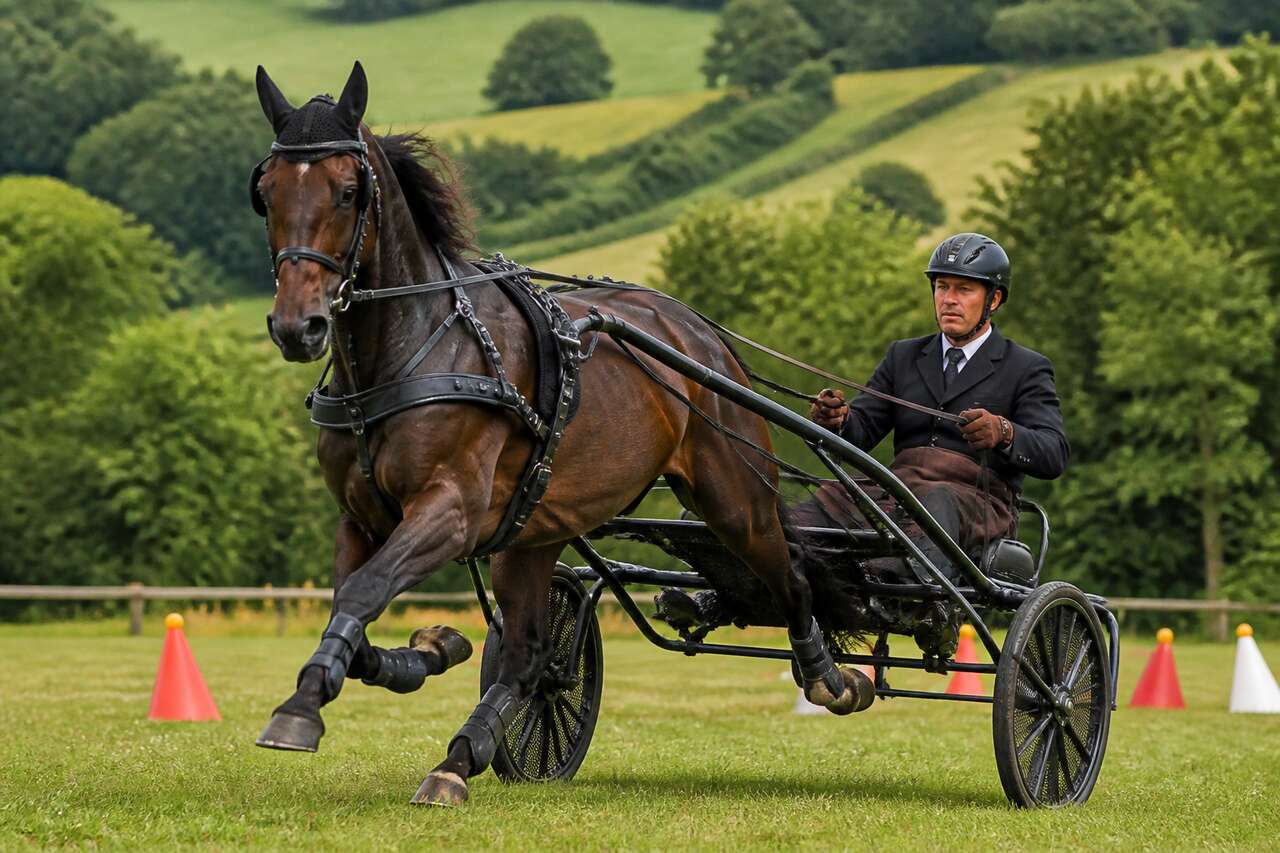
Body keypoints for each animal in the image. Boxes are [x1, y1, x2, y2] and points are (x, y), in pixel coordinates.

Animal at [250, 61, 873, 806]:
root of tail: (700, 332)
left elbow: (364, 591)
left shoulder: (450, 511)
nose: (298, 326)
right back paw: (460, 757)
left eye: (348, 191)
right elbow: (356, 608)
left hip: (733, 499)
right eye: (266, 192)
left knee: (792, 577)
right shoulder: (362, 516)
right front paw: (428, 649)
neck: (412, 349)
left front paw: (299, 710)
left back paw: (829, 678)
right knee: (528, 653)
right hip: (537, 528)